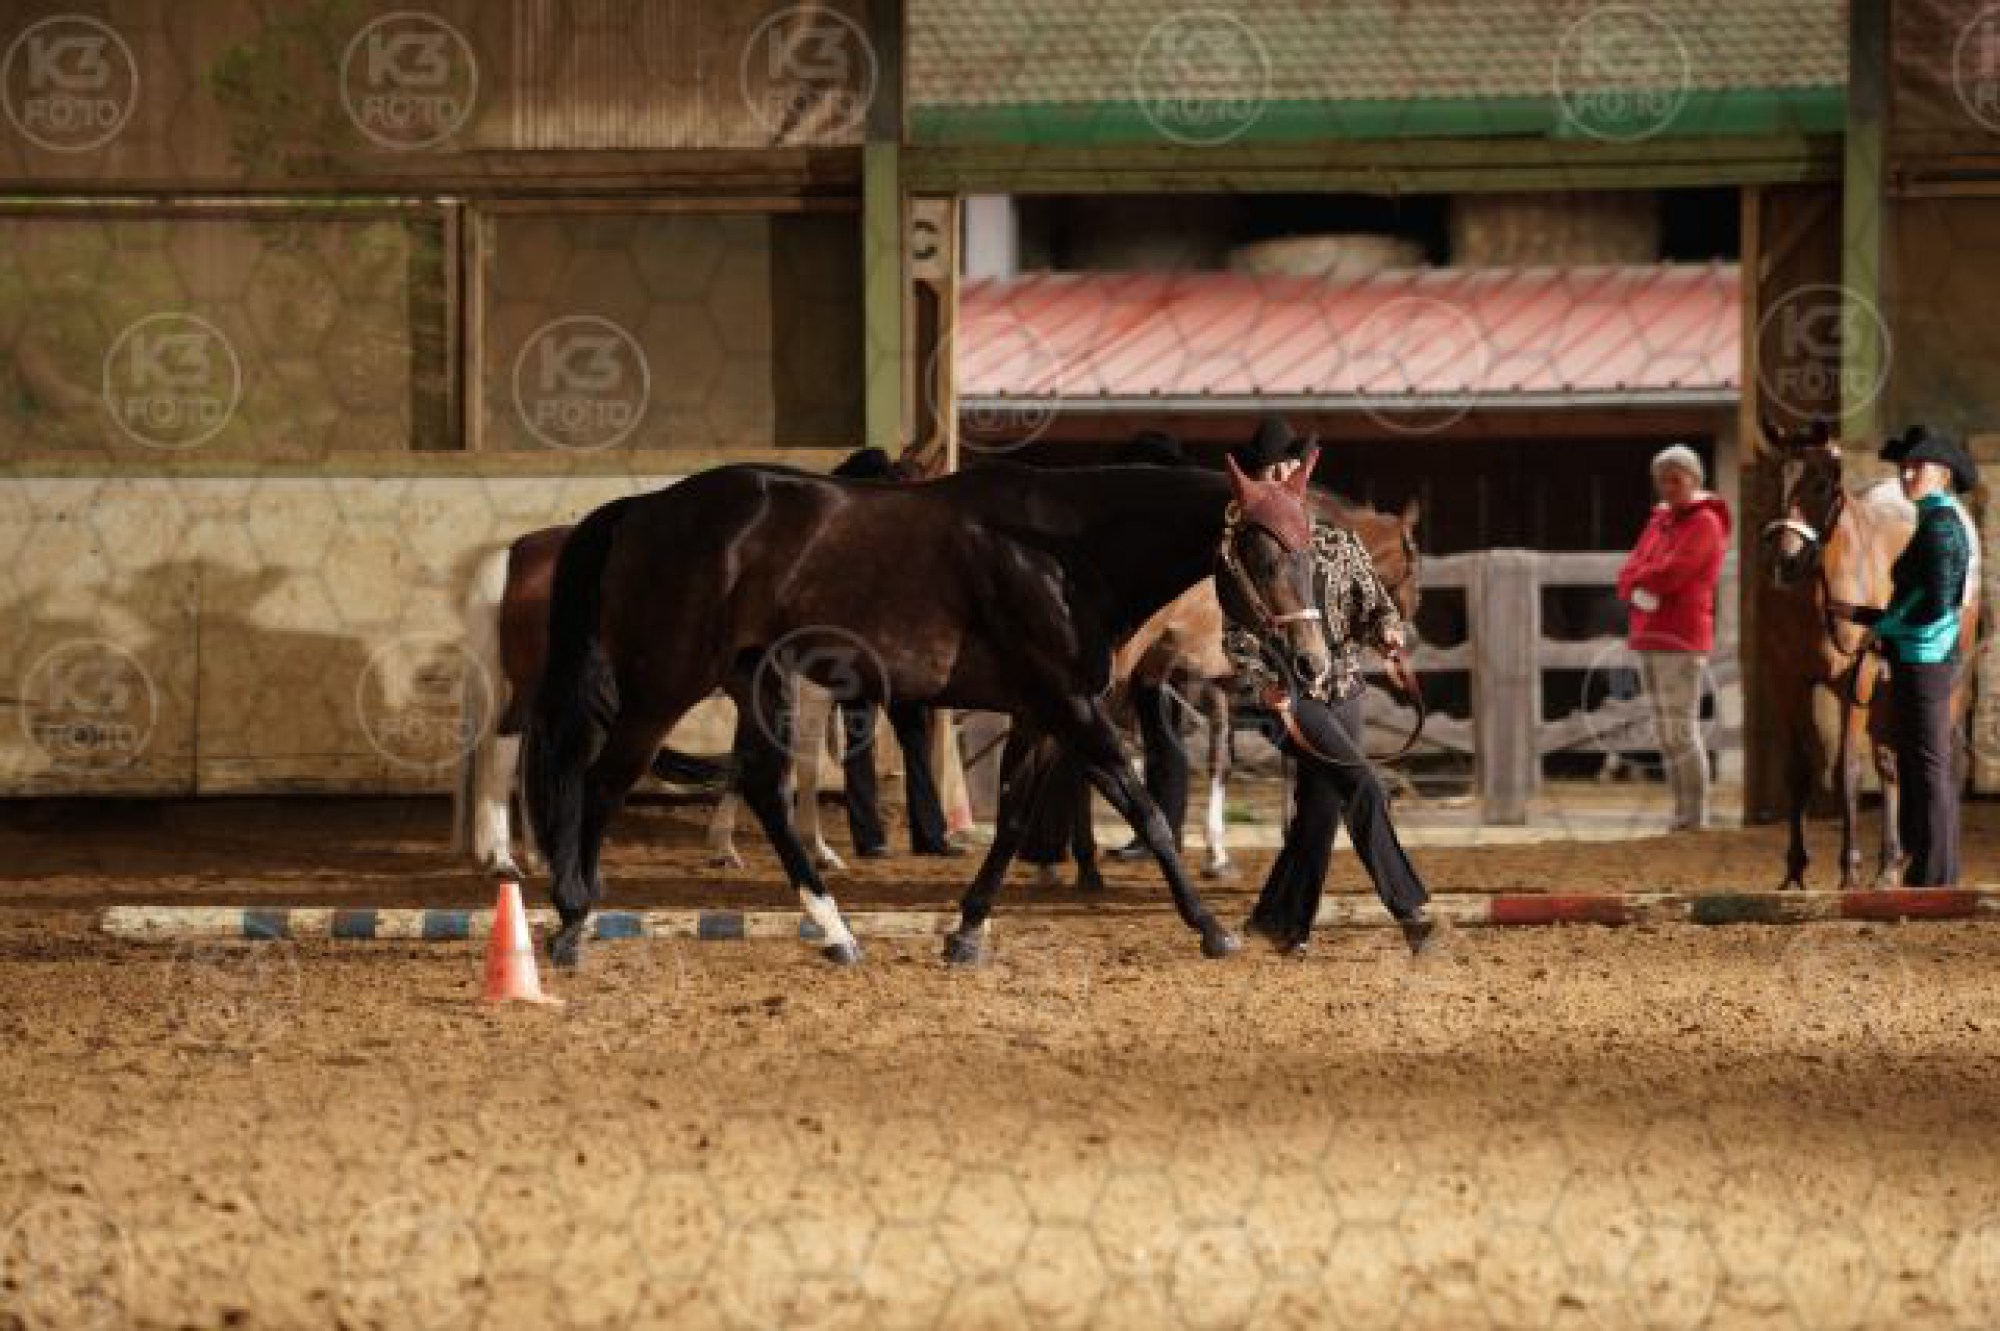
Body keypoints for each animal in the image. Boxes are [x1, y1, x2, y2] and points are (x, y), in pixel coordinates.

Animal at [451, 526, 845, 881]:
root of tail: (516, 550)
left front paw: (724, 846)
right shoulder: (806, 689)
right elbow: (804, 766)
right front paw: (816, 849)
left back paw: (538, 856)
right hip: (532, 689)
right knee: (503, 755)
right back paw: (503, 860)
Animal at [524, 455, 1331, 968]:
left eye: (1311, 552)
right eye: (1262, 555)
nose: (1312, 662)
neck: (1064, 552)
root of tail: (644, 510)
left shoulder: (1042, 714)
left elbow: (1013, 820)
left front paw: (967, 931)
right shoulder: (1072, 708)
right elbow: (1147, 811)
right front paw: (1212, 928)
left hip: (760, 681)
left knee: (760, 788)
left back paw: (835, 931)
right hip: (667, 685)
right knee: (603, 782)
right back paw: (573, 920)